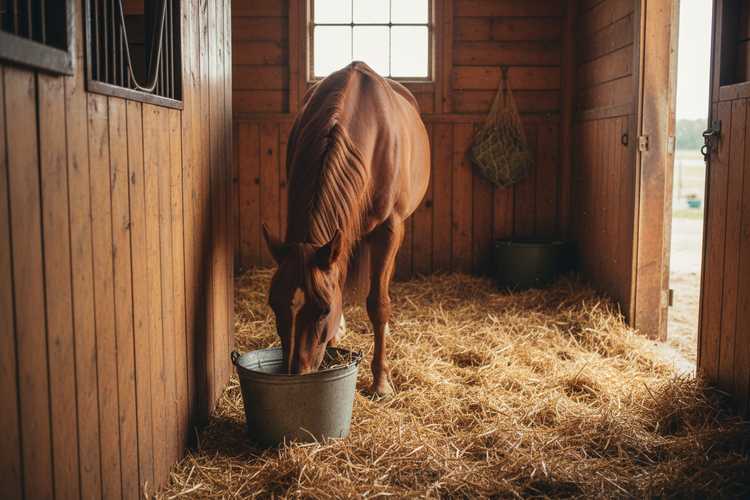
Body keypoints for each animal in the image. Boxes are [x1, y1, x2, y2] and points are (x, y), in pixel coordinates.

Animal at [261, 61, 430, 397]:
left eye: (324, 309)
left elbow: (378, 304)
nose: (295, 374)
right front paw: (334, 341)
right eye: (274, 304)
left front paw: (380, 381)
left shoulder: (389, 230)